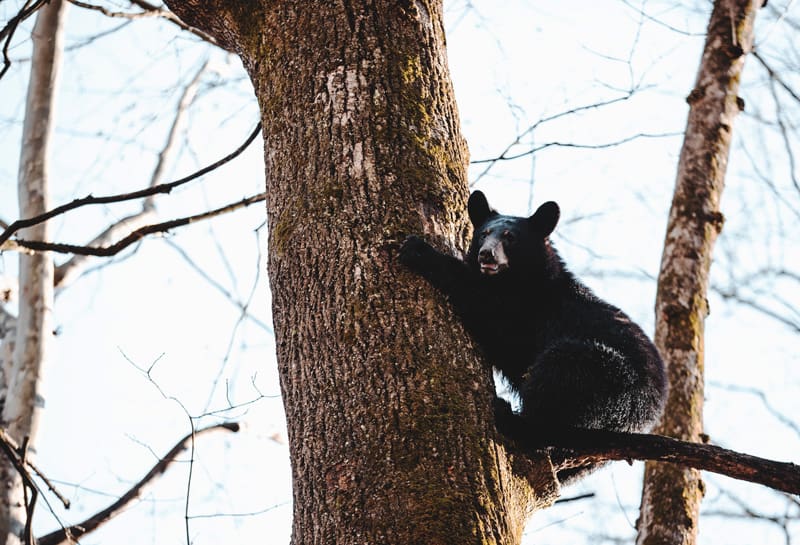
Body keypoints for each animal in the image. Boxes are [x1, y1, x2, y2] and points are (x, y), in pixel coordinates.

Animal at [400, 189, 668, 482]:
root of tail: (649, 413)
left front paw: (418, 249)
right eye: (483, 233)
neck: (521, 278)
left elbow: (492, 316)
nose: (486, 255)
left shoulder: (528, 308)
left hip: (608, 377)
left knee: (558, 377)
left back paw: (512, 417)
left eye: (510, 237)